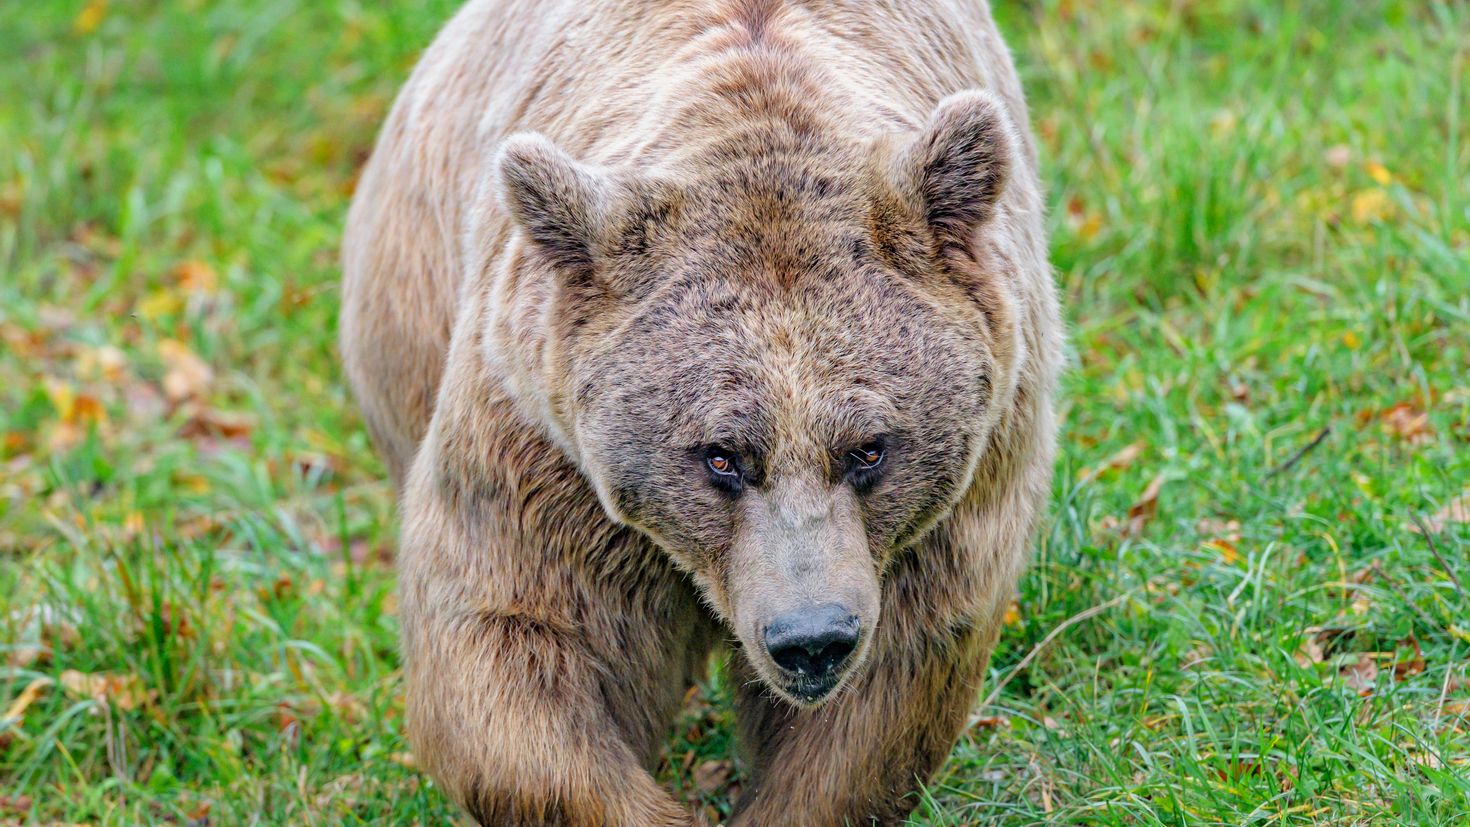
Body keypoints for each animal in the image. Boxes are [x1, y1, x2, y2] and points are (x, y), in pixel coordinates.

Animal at [338, 1, 1064, 822]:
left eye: (870, 447)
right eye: (721, 455)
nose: (810, 639)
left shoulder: (962, 486)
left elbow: (880, 700)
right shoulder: (544, 451)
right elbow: (512, 639)